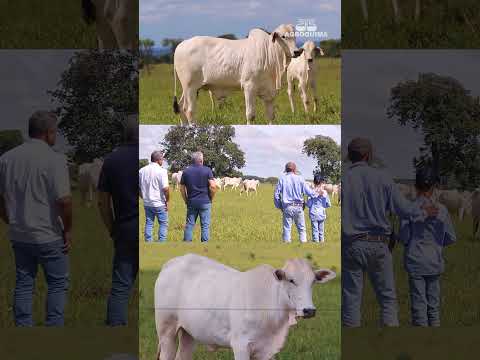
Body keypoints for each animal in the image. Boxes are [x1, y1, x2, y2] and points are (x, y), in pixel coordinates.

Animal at [156, 253, 336, 360]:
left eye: (313, 282)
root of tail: (173, 262)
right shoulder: (240, 345)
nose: (309, 310)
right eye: (291, 280)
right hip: (166, 331)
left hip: (189, 333)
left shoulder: (266, 350)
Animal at [172, 24, 302, 125]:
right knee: (189, 111)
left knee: (181, 107)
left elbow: (271, 116)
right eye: (283, 36)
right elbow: (250, 115)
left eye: (294, 36)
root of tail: (181, 45)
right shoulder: (249, 87)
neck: (269, 53)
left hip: (188, 89)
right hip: (190, 87)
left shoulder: (270, 92)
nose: (297, 51)